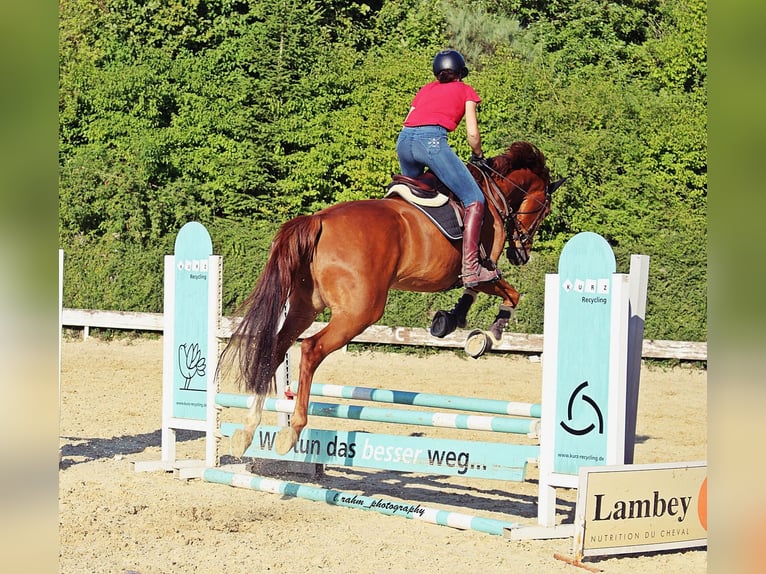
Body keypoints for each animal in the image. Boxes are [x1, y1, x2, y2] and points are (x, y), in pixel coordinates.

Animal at [219, 142, 560, 456]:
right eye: (545, 209)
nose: (521, 255)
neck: (493, 193)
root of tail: (319, 220)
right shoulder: (484, 270)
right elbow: (510, 294)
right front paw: (490, 334)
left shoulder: (475, 272)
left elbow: (473, 291)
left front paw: (450, 321)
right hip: (359, 312)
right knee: (311, 349)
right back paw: (292, 431)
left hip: (306, 306)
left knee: (277, 347)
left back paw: (248, 429)